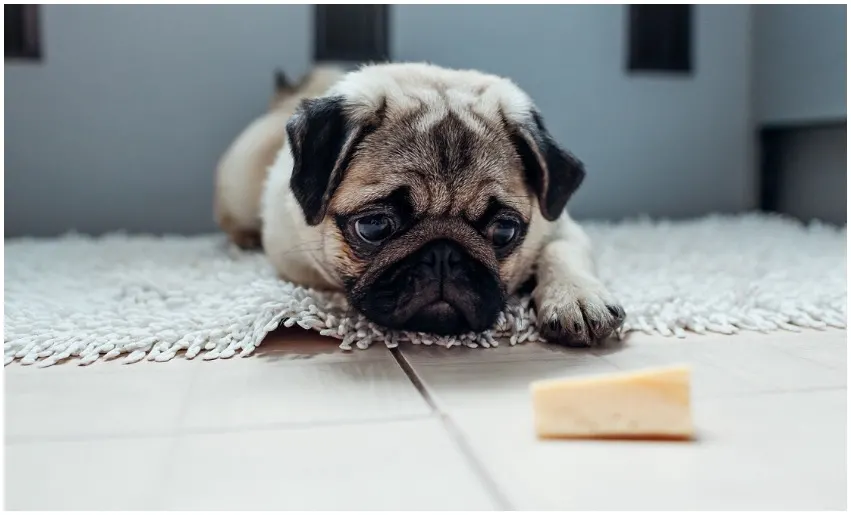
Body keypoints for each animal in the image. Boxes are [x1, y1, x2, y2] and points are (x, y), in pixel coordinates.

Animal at [220, 63, 624, 346]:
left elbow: (561, 252)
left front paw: (577, 297)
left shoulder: (559, 225)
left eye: (504, 231)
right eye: (373, 227)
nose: (443, 255)